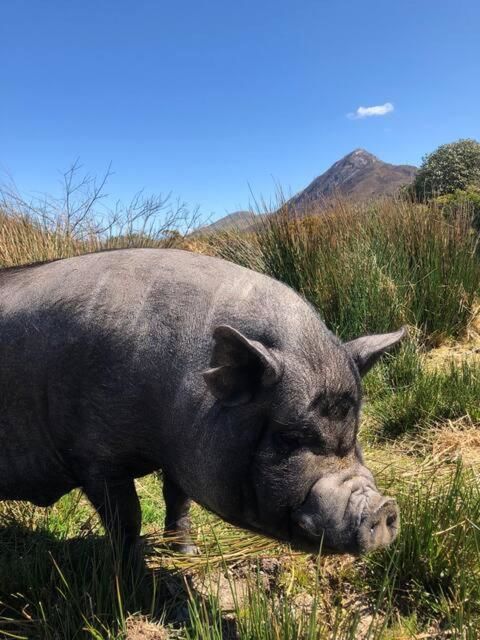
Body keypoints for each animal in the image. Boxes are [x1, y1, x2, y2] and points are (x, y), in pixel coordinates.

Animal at [0, 248, 404, 556]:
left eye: (354, 429)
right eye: (289, 436)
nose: (383, 508)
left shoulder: (179, 456)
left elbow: (178, 500)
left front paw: (188, 552)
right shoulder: (95, 458)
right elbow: (127, 520)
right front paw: (130, 573)